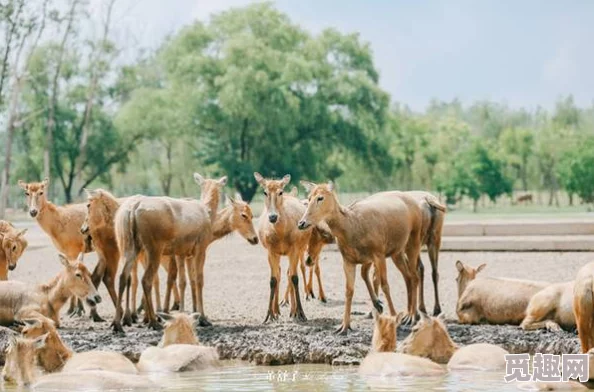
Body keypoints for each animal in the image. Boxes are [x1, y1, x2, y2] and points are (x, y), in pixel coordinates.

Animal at [17, 179, 105, 320]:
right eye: (27, 192)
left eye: (41, 192)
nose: (33, 212)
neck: (59, 220)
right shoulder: (66, 252)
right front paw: (70, 310)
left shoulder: (74, 251)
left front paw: (78, 310)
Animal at [111, 174, 224, 330]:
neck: (207, 213)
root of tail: (133, 208)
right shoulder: (200, 248)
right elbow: (198, 280)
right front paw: (203, 318)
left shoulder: (181, 252)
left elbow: (185, 279)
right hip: (154, 247)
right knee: (146, 279)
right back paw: (153, 321)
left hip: (130, 246)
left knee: (124, 277)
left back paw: (119, 323)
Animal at [252, 173, 312, 324]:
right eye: (265, 192)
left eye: (280, 192)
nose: (273, 217)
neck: (280, 233)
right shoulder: (271, 251)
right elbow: (273, 279)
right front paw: (269, 316)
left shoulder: (294, 250)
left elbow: (294, 278)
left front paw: (301, 314)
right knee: (279, 274)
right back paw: (277, 311)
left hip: (299, 249)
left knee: (292, 273)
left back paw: (293, 311)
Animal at [298, 182, 424, 332]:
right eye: (309, 197)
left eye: (320, 198)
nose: (302, 223)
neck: (352, 226)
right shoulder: (349, 260)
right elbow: (349, 290)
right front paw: (344, 326)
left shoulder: (378, 254)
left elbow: (385, 285)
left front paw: (393, 317)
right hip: (396, 252)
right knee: (408, 277)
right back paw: (404, 314)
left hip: (413, 241)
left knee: (414, 275)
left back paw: (411, 317)